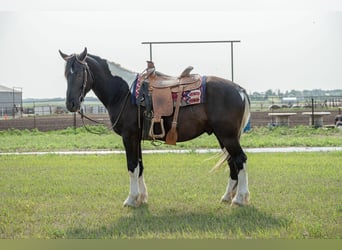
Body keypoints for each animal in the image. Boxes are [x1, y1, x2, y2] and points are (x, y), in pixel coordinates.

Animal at [58, 47, 251, 207]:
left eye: (80, 74)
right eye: (66, 74)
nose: (71, 104)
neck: (122, 92)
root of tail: (239, 89)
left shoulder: (129, 137)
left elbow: (132, 166)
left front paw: (131, 199)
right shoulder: (136, 138)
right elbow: (140, 167)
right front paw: (142, 197)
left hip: (227, 136)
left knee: (240, 159)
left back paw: (240, 198)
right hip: (223, 137)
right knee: (232, 161)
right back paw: (227, 196)